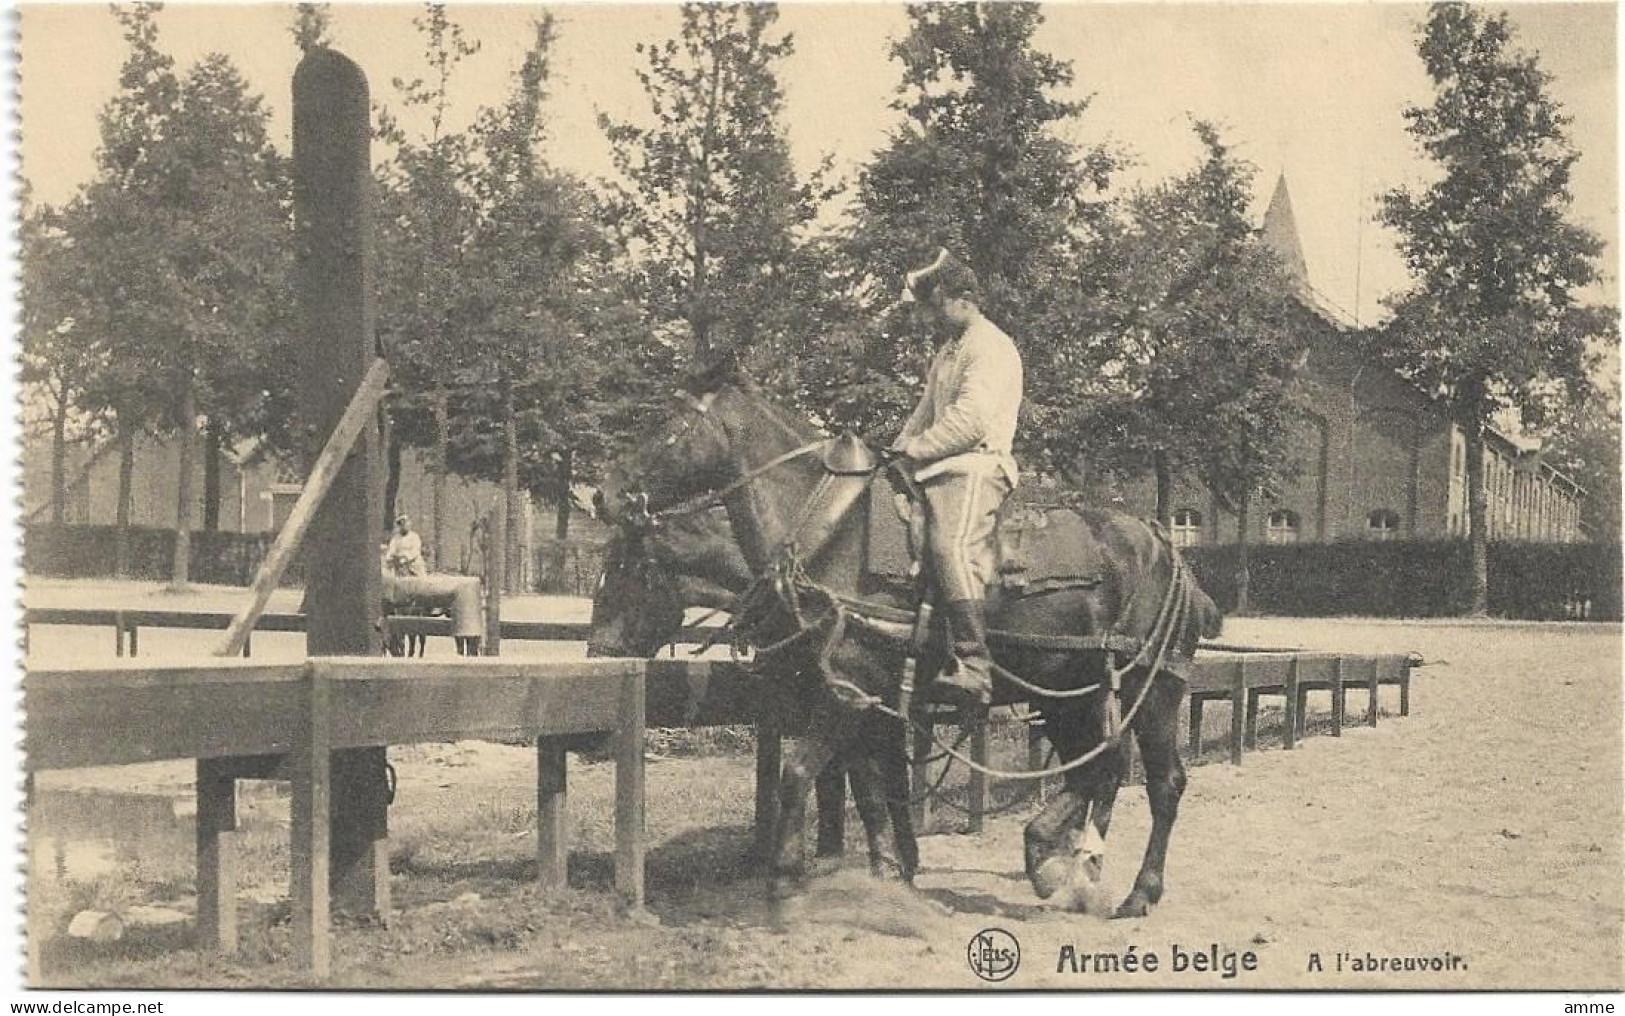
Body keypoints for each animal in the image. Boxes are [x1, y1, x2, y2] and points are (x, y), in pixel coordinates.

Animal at [604, 377, 1222, 916]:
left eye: (668, 427)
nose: (609, 492)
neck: (832, 536)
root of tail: (1165, 545)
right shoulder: (868, 704)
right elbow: (875, 789)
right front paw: (890, 871)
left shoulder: (849, 696)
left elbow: (801, 774)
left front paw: (786, 880)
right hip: (1067, 692)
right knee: (1097, 765)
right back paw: (1063, 862)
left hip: (1150, 687)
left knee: (1156, 780)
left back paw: (1128, 887)